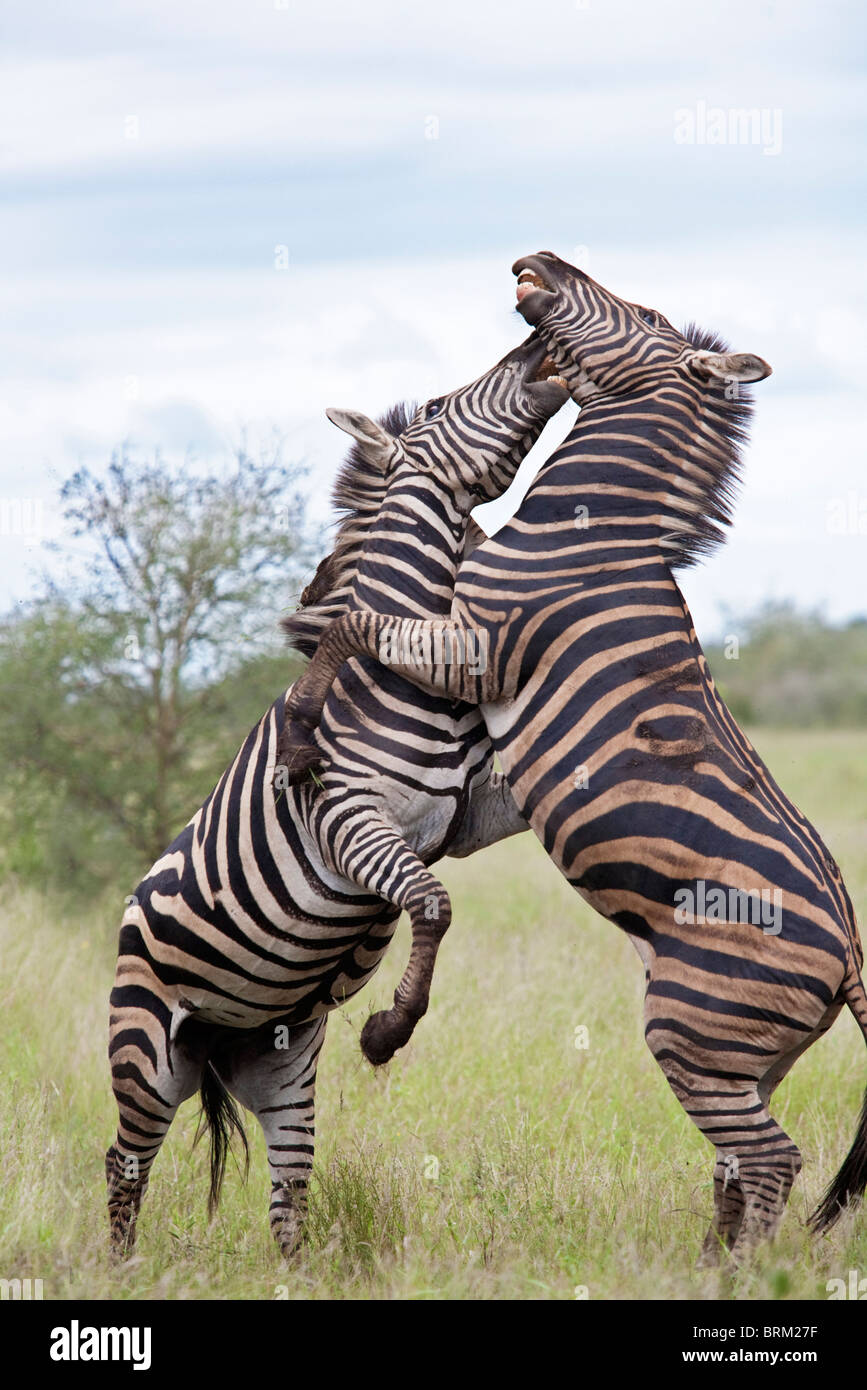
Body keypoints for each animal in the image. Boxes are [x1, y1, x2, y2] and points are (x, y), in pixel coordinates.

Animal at [104, 330, 566, 1256]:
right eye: (440, 403)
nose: (536, 340)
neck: (397, 674)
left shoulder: (472, 810)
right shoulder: (348, 820)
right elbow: (431, 904)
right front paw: (390, 1031)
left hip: (281, 1065)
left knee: (288, 1193)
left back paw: (294, 1272)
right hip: (147, 1053)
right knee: (124, 1163)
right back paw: (119, 1269)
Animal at [276, 250, 867, 1262]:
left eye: (646, 313)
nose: (536, 262)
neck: (592, 532)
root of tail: (853, 954)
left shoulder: (474, 644)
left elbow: (357, 623)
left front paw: (304, 711)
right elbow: (362, 618)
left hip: (691, 1025)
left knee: (771, 1161)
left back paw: (738, 1276)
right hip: (745, 1054)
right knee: (742, 1160)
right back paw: (709, 1269)